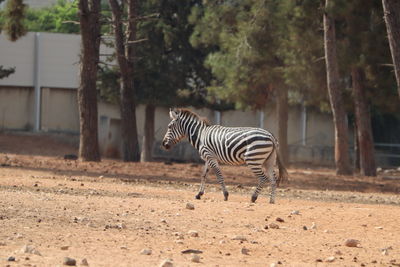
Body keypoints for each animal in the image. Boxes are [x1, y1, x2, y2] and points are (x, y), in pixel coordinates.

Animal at [161, 108, 290, 204]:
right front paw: (199, 194)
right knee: (273, 179)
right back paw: (271, 200)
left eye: (169, 127)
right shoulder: (208, 157)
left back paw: (253, 197)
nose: (163, 144)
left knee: (263, 178)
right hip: (269, 161)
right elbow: (204, 175)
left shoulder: (210, 156)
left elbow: (219, 175)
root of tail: (270, 135)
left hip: (253, 159)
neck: (201, 135)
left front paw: (225, 195)